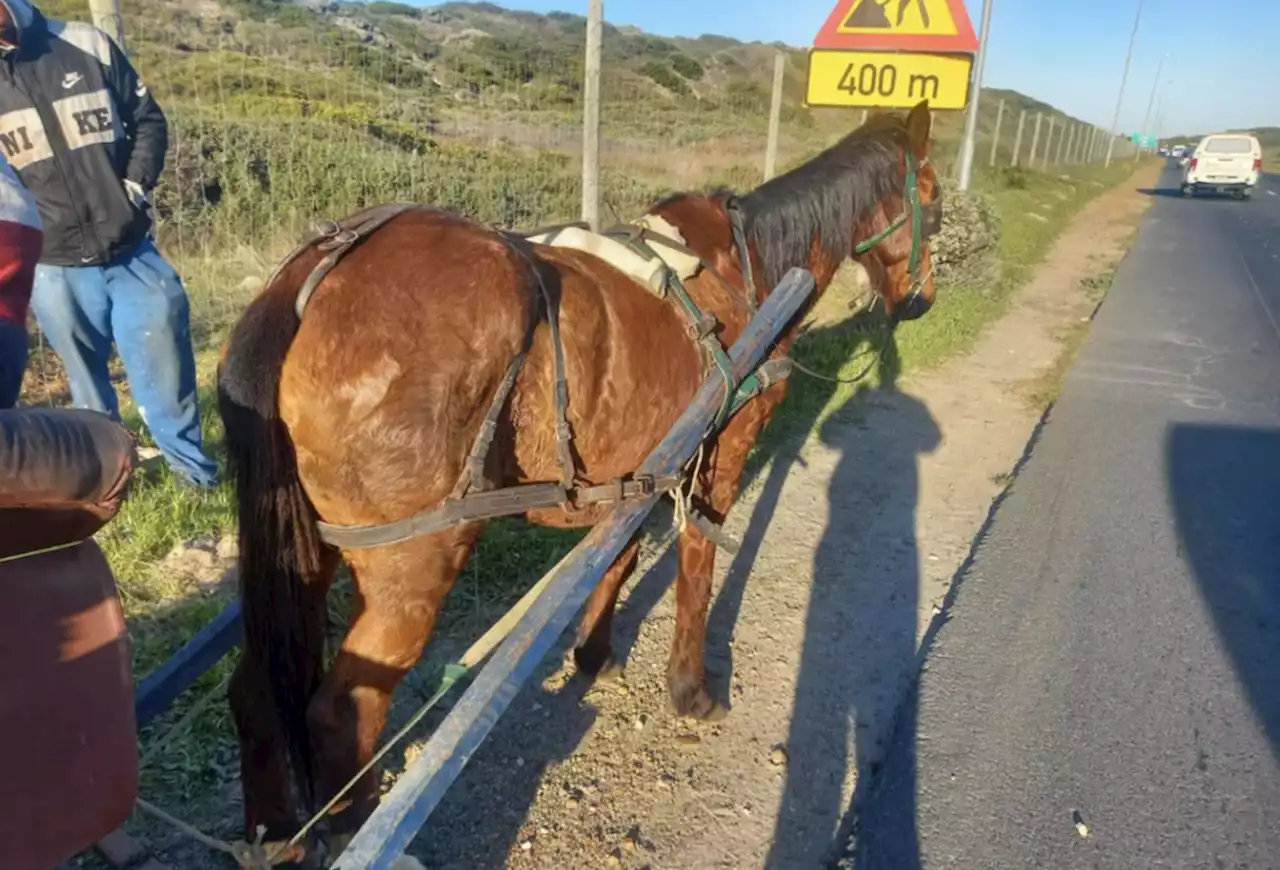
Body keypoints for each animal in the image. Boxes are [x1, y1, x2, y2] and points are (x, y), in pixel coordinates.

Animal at [217, 98, 942, 859]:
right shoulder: (718, 457)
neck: (748, 271)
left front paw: (595, 654)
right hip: (413, 559)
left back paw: (276, 834)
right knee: (342, 708)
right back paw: (360, 828)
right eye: (932, 196)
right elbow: (697, 565)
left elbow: (616, 560)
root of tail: (314, 273)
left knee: (256, 691)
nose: (922, 299)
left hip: (310, 550)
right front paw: (691, 690)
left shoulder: (635, 469)